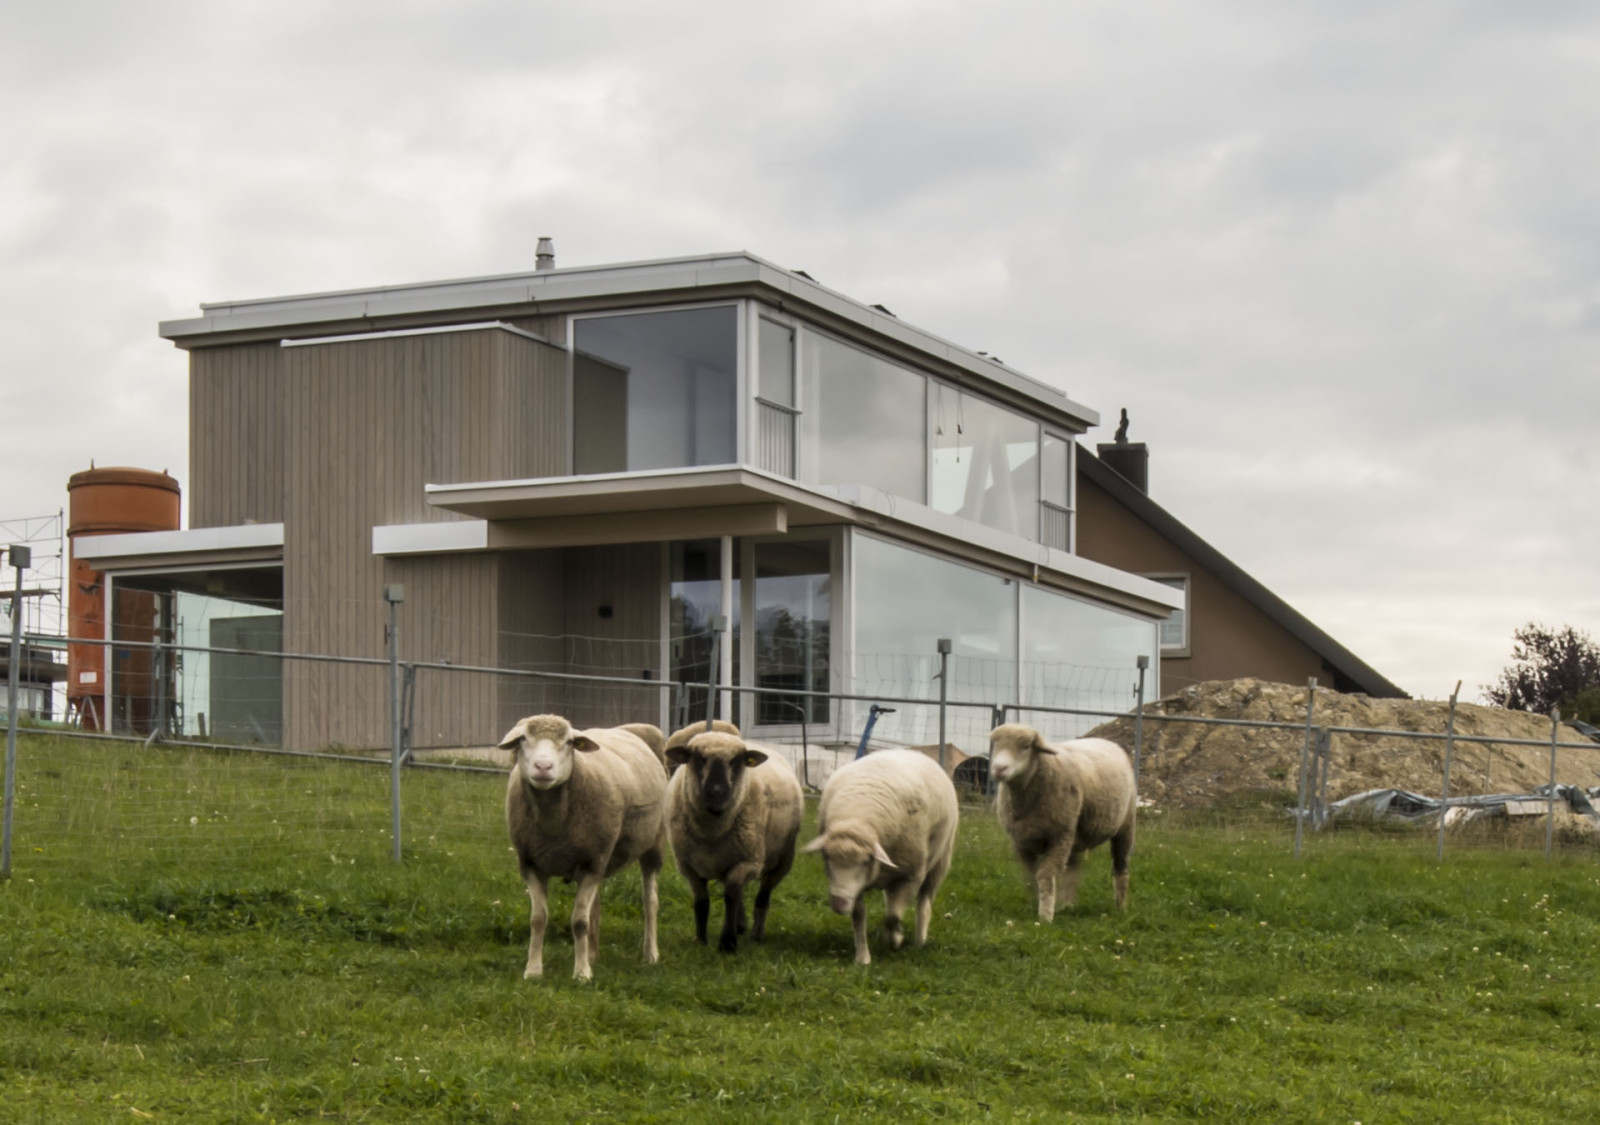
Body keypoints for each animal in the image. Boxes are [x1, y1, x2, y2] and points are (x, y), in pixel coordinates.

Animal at [505, 716, 668, 979]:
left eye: (569, 742)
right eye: (523, 739)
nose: (543, 767)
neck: (553, 825)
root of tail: (625, 729)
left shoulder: (593, 863)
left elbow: (579, 922)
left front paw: (581, 974)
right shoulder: (530, 865)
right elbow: (538, 919)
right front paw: (533, 970)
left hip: (653, 844)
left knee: (650, 900)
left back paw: (650, 954)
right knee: (596, 905)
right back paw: (592, 954)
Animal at [665, 726, 806, 953]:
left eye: (736, 761)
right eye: (699, 758)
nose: (716, 793)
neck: (711, 832)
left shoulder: (748, 861)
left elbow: (731, 895)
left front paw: (727, 943)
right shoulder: (689, 867)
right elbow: (702, 902)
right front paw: (701, 940)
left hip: (782, 859)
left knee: (762, 895)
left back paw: (756, 933)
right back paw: (741, 925)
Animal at [796, 748, 953, 966]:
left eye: (864, 862)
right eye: (826, 857)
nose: (838, 904)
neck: (857, 820)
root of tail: (907, 750)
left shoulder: (911, 876)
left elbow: (893, 916)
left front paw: (895, 940)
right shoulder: (857, 886)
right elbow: (859, 915)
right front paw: (863, 957)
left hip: (939, 861)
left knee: (925, 900)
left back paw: (919, 940)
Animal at [985, 723, 1139, 921]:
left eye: (1026, 746)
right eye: (995, 744)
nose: (999, 769)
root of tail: (1108, 742)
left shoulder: (1059, 836)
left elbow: (1045, 874)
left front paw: (1045, 916)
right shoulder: (1020, 841)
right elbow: (1030, 875)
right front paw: (1037, 904)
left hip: (1124, 826)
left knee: (1121, 867)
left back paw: (1121, 907)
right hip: (1074, 835)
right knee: (1073, 868)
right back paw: (1067, 906)